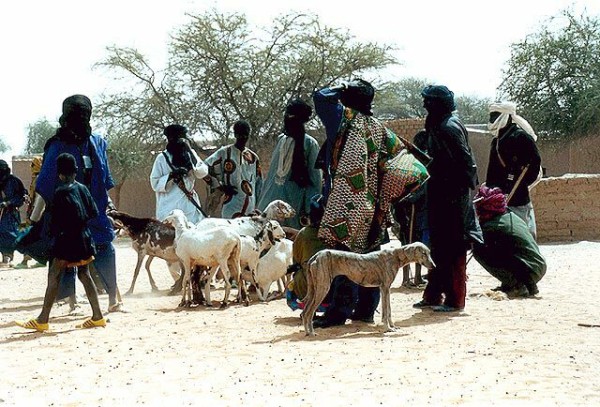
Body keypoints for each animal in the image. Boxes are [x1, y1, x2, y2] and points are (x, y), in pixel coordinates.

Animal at [302, 242, 434, 338]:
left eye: (429, 252)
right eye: (423, 253)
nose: (434, 266)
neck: (396, 255)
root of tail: (315, 256)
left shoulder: (385, 289)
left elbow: (389, 311)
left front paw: (393, 326)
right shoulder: (385, 288)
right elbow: (386, 311)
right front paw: (388, 328)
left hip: (314, 289)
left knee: (304, 312)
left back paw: (307, 332)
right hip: (322, 288)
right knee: (309, 312)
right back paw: (312, 333)